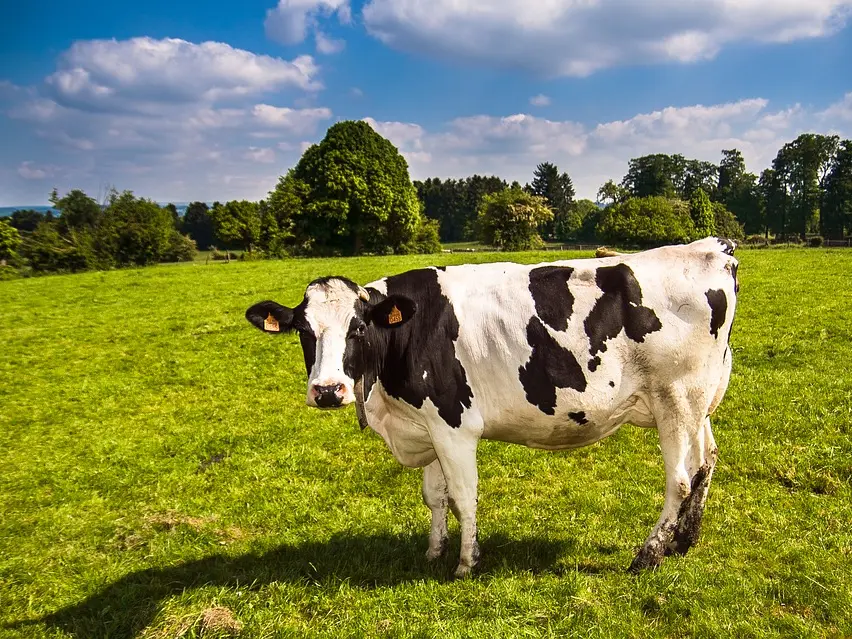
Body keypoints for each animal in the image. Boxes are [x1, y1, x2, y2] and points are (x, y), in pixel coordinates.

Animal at [245, 237, 739, 576]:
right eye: (304, 331)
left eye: (359, 328)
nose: (328, 390)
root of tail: (713, 247)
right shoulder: (426, 424)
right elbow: (435, 496)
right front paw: (434, 551)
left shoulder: (453, 424)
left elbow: (463, 495)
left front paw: (466, 562)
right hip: (697, 402)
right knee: (706, 461)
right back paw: (684, 541)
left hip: (675, 399)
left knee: (679, 479)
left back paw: (649, 554)